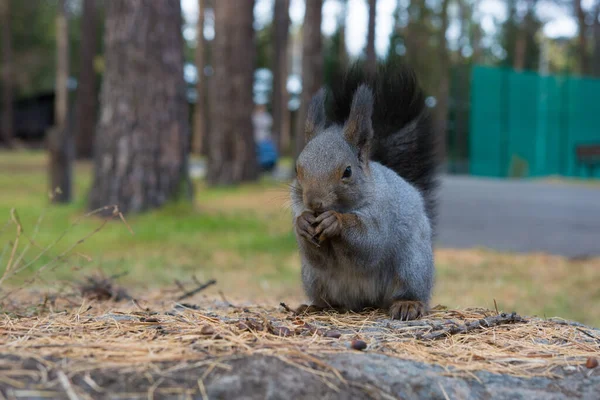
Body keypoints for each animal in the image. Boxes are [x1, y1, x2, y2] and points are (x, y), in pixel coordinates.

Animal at [290, 60, 440, 322]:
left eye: (347, 171)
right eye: (298, 170)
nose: (314, 203)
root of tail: (366, 301)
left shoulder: (383, 214)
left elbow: (370, 242)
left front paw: (335, 221)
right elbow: (315, 254)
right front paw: (303, 223)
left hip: (413, 265)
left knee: (410, 290)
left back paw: (408, 304)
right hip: (313, 278)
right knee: (329, 299)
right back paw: (316, 307)